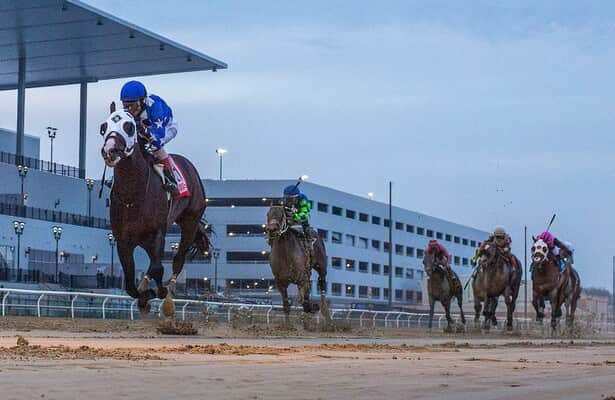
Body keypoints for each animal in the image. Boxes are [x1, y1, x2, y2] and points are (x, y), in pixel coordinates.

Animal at [99, 104, 209, 318]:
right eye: (103, 127)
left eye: (129, 127)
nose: (110, 151)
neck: (132, 195)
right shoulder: (123, 241)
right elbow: (130, 283)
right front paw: (143, 296)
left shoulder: (157, 233)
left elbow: (158, 268)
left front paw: (158, 294)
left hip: (190, 221)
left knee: (177, 259)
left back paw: (168, 295)